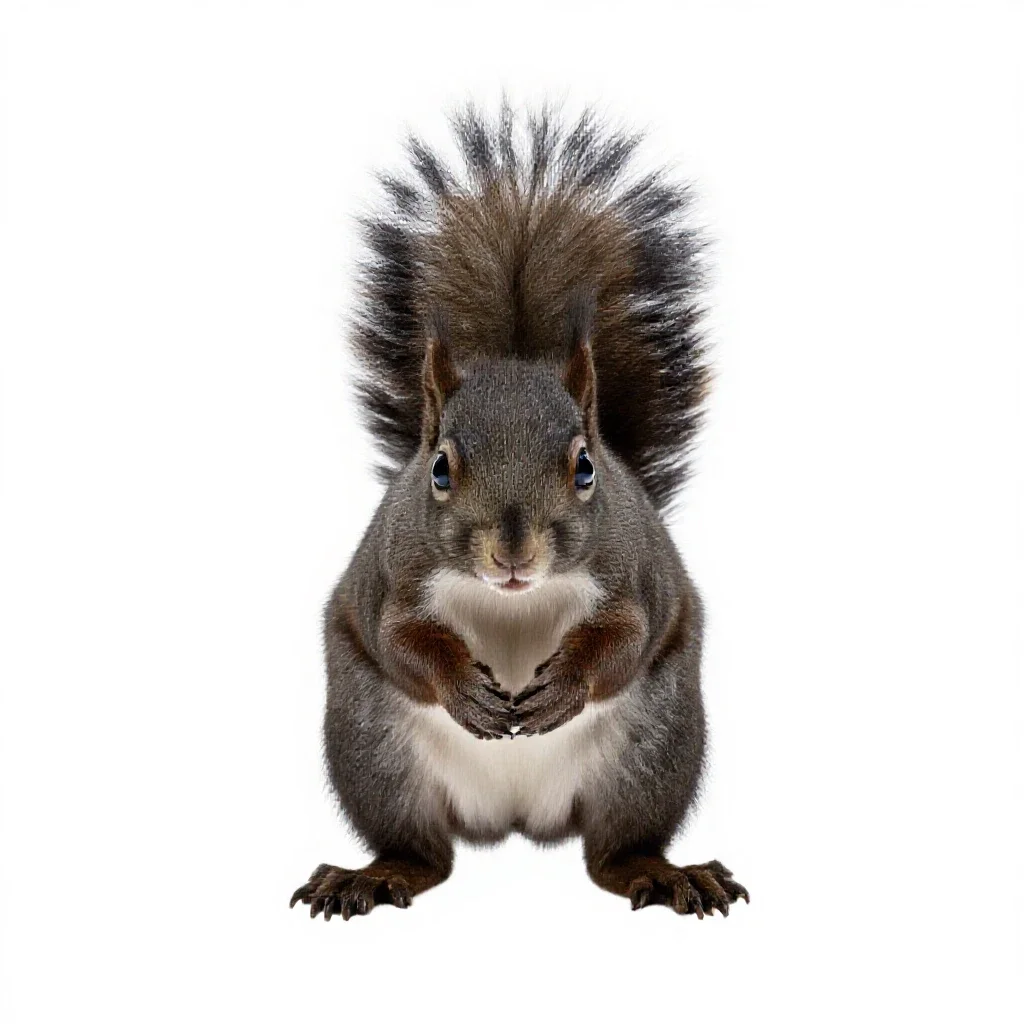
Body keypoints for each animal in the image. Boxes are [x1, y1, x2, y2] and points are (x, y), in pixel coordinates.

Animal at [290, 103, 748, 920]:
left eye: (587, 467)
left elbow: (626, 638)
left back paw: (662, 873)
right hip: (375, 752)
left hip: (653, 750)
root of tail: (513, 817)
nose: (512, 553)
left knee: (612, 853)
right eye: (439, 469)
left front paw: (564, 684)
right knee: (424, 854)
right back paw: (375, 875)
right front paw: (464, 688)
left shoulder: (634, 572)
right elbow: (399, 637)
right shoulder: (392, 573)